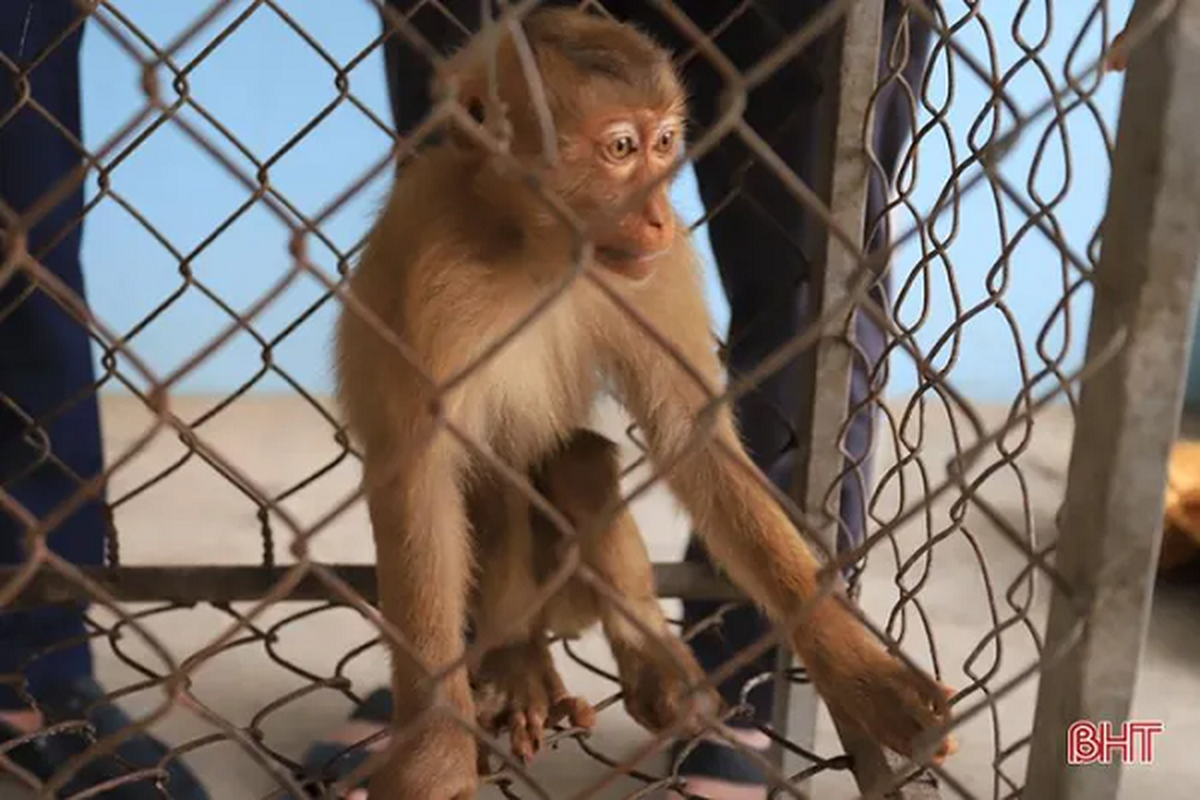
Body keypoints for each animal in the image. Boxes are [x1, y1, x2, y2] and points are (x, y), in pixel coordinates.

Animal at [336, 7, 955, 800]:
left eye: (664, 144)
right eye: (620, 148)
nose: (659, 215)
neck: (535, 249)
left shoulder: (655, 275)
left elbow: (695, 439)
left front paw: (862, 675)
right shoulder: (434, 265)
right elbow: (420, 475)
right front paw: (436, 755)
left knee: (579, 460)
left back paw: (646, 657)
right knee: (490, 487)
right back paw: (514, 662)